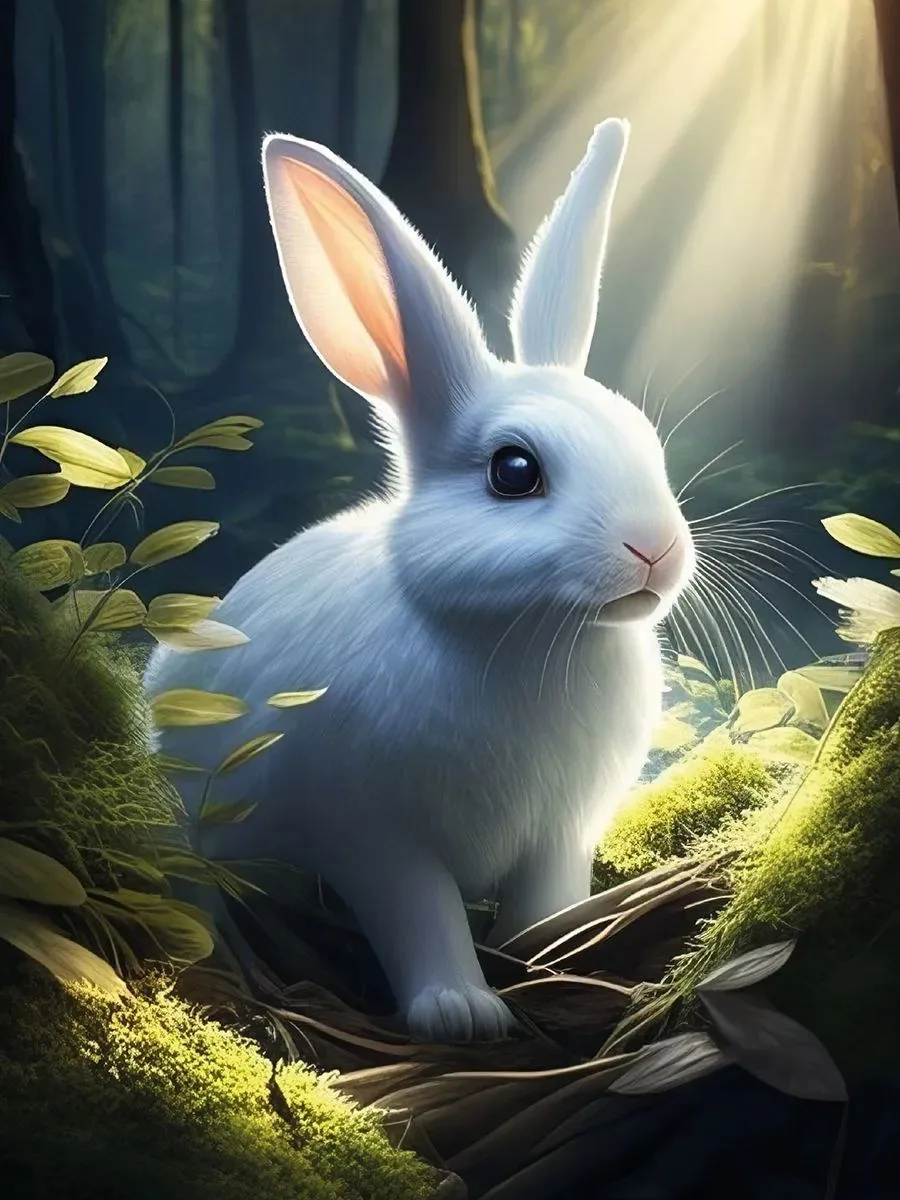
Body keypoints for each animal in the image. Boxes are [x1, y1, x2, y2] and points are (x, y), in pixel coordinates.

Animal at [143, 117, 695, 1043]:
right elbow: (421, 916)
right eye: (515, 472)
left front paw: (553, 962)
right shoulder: (375, 835)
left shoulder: (562, 830)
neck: (529, 637)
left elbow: (546, 904)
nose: (654, 548)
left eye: (646, 441)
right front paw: (460, 1014)